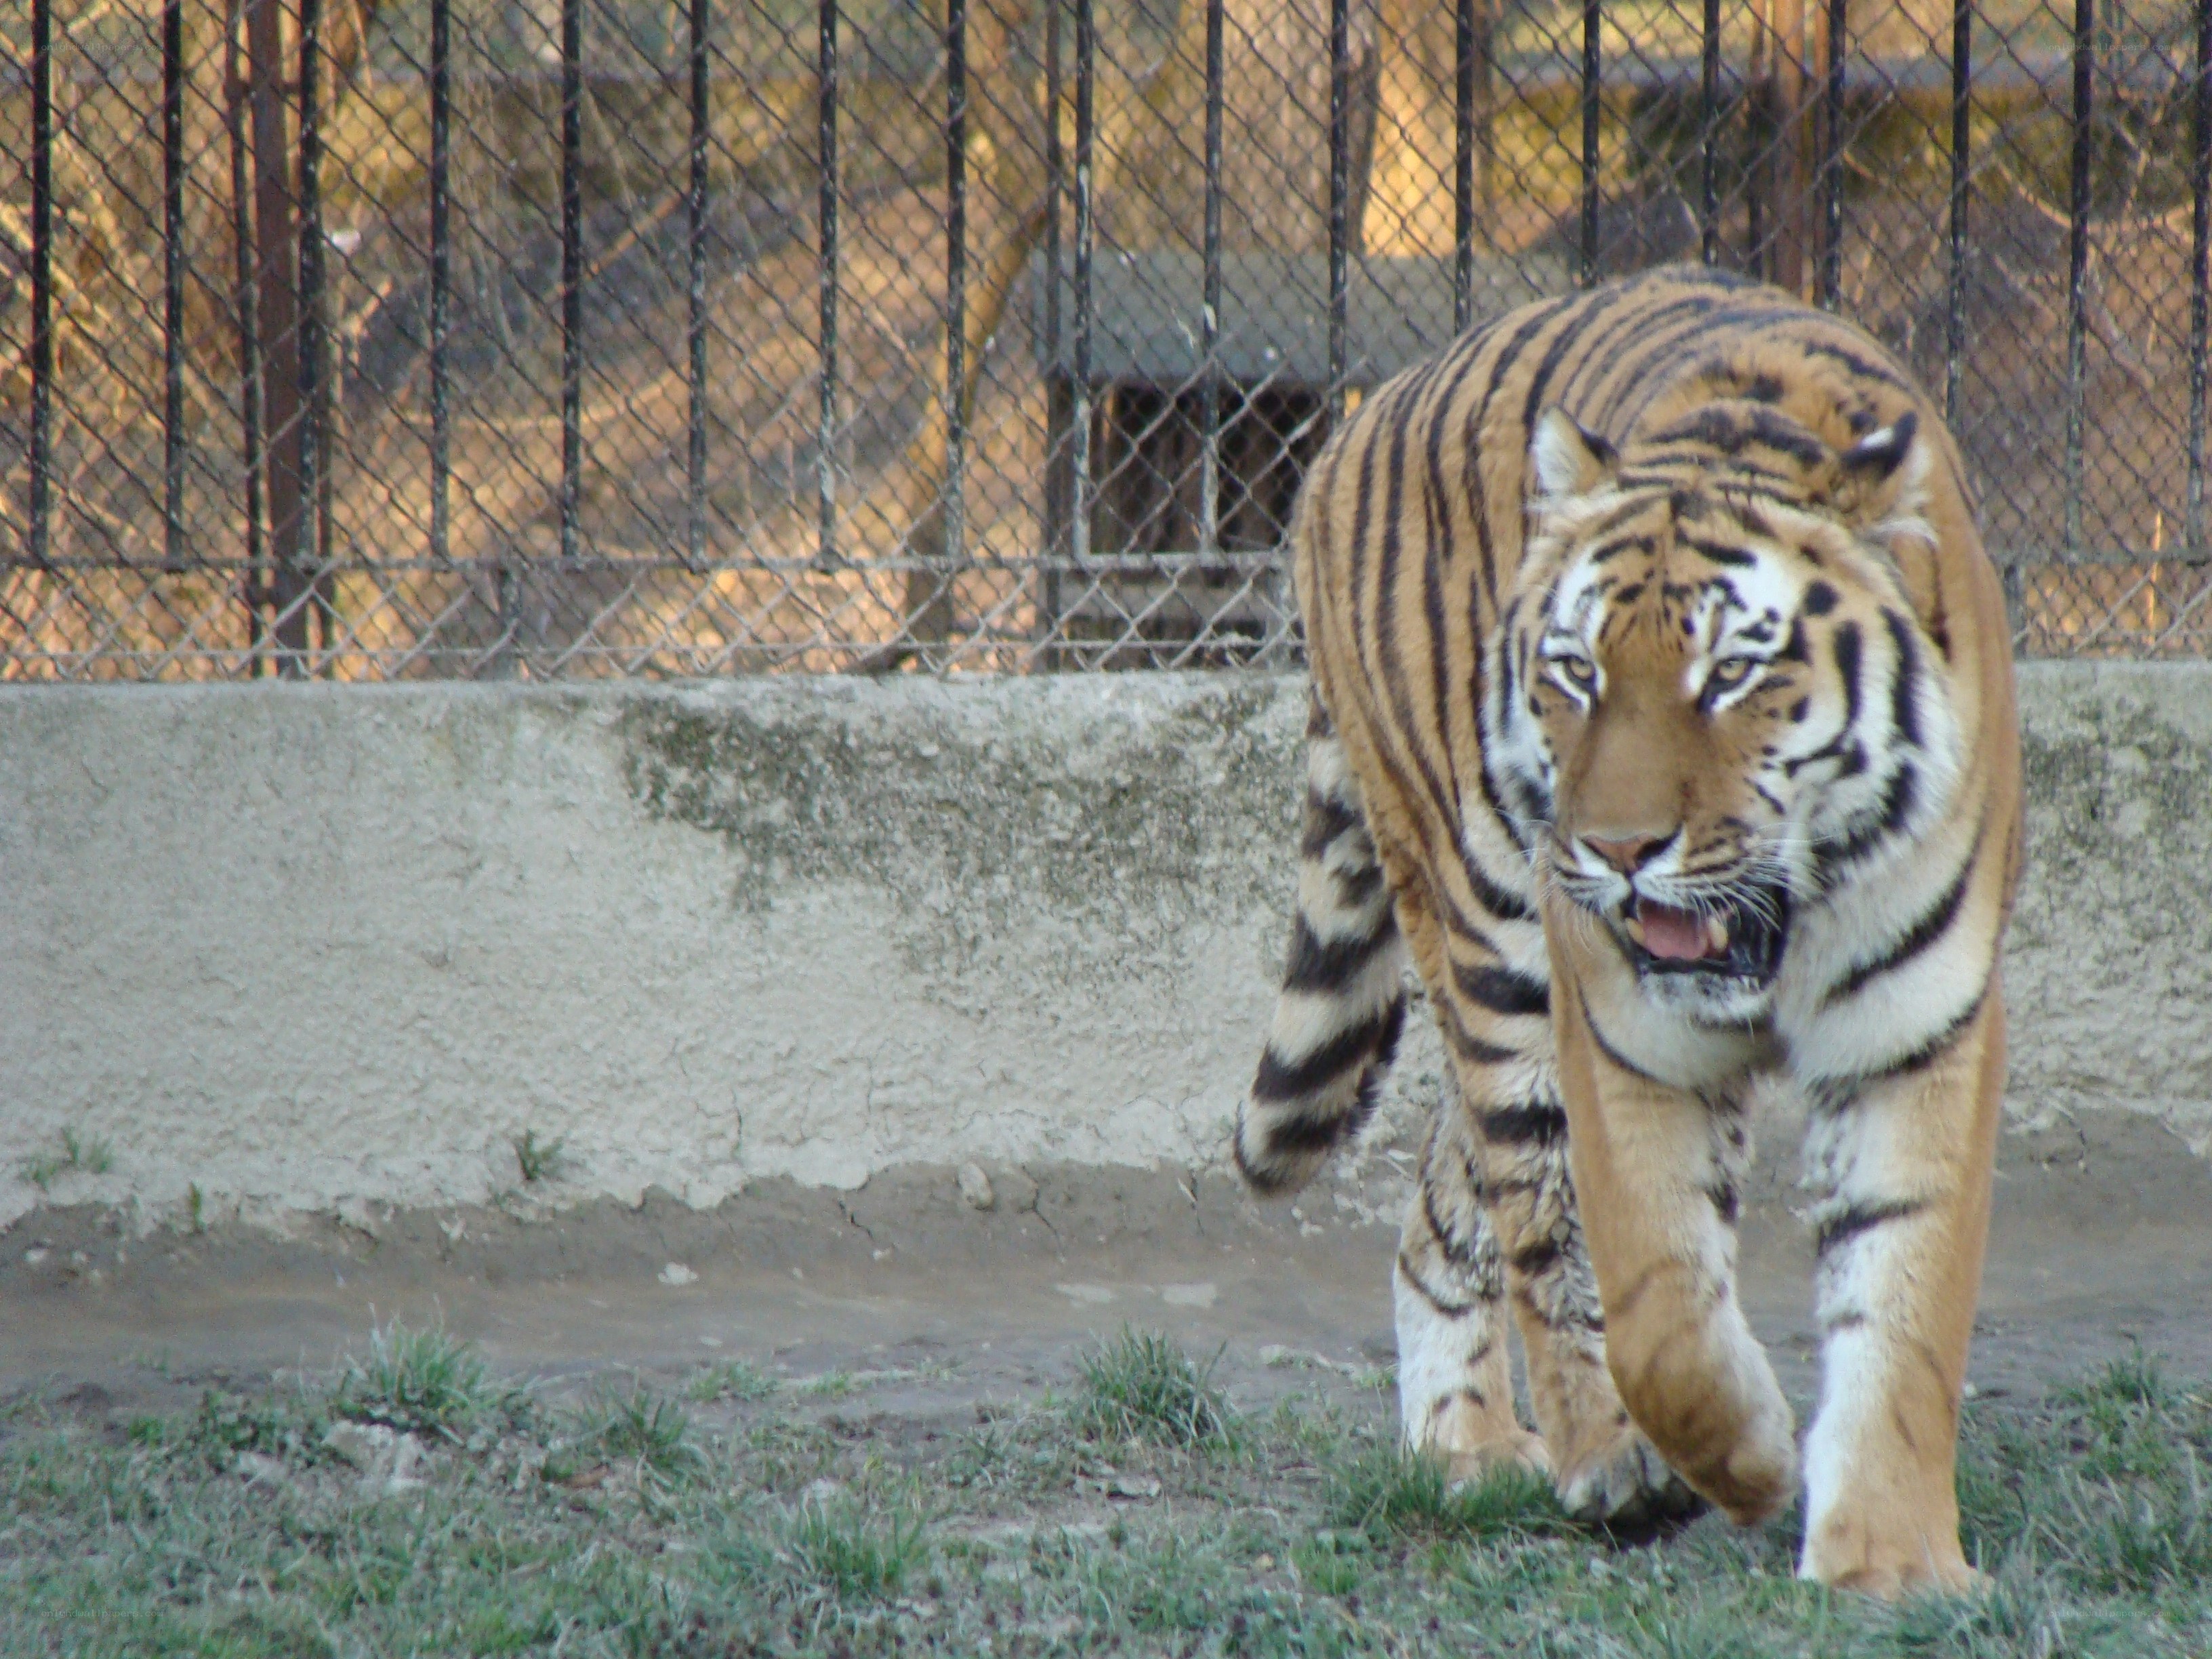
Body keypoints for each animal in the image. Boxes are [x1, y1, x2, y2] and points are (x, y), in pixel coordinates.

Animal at [1234, 263, 2021, 1596]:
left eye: (1731, 676)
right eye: (1576, 671)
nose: (1613, 849)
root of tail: (1362, 410)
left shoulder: (1918, 1032)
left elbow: (1904, 1299)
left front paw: (1890, 1563)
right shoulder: (1619, 1032)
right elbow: (1653, 1302)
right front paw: (1741, 1458)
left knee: (1440, 1207)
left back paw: (1464, 1443)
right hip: (1492, 944)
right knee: (1527, 1210)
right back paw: (1600, 1461)